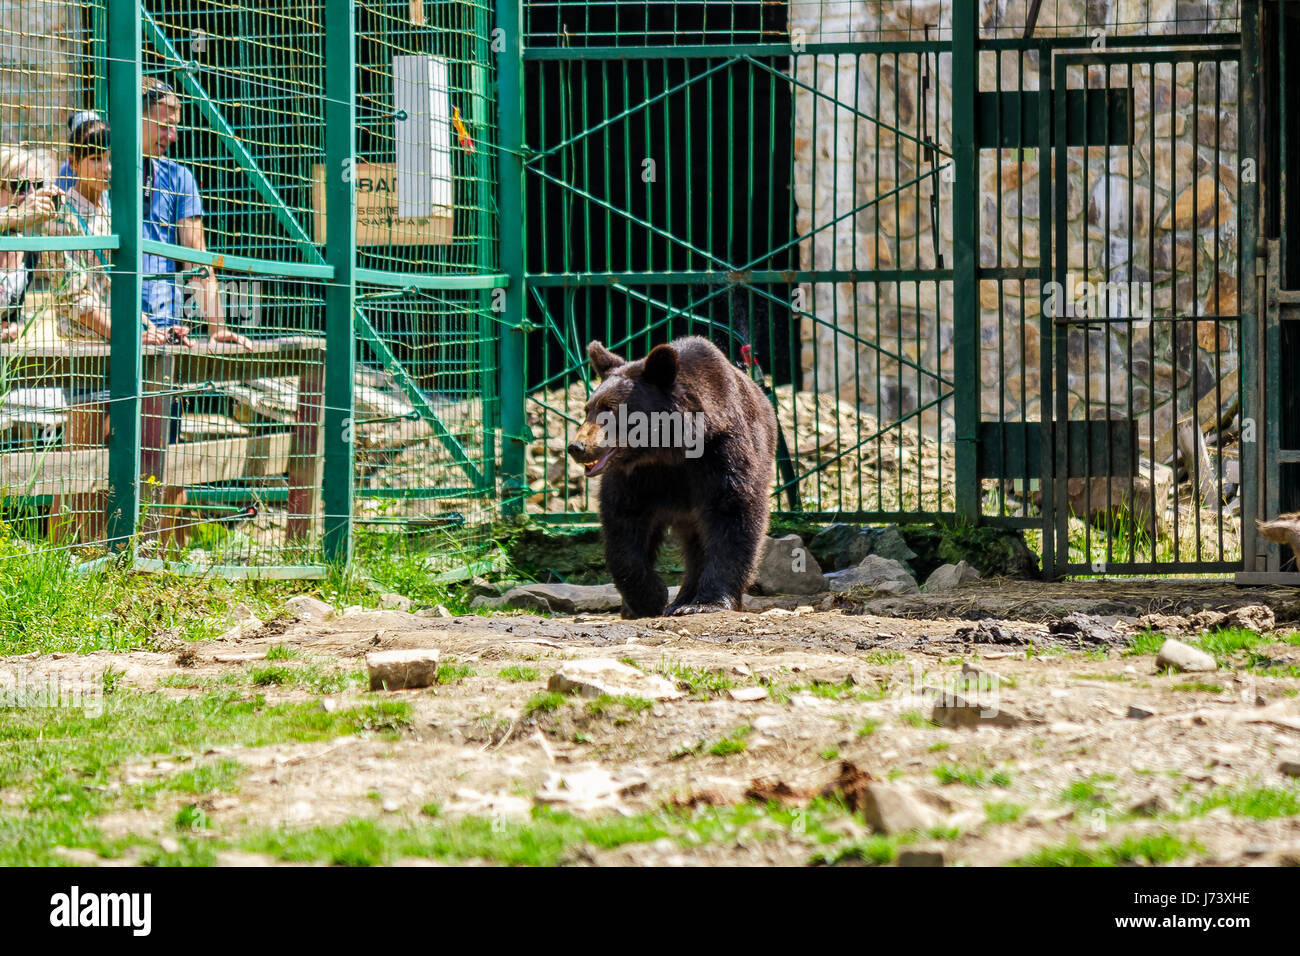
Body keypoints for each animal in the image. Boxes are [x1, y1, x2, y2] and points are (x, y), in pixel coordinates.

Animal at [567, 336, 777, 618]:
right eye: (588, 409)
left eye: (610, 409)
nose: (577, 447)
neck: (668, 451)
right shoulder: (636, 476)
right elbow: (623, 524)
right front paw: (648, 597)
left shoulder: (721, 451)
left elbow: (734, 512)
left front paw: (707, 602)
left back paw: (684, 600)